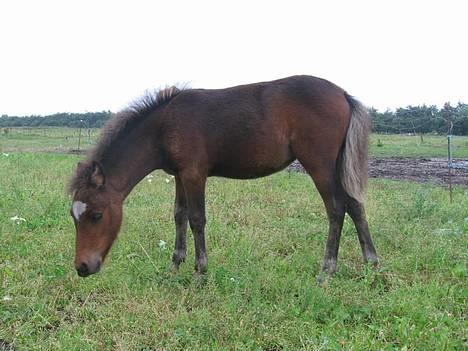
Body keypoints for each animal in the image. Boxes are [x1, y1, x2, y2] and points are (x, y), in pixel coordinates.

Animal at [68, 75, 376, 280]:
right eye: (73, 216)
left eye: (96, 215)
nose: (82, 267)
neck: (165, 124)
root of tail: (343, 93)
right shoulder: (179, 175)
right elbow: (179, 215)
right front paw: (175, 265)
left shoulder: (195, 174)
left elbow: (196, 219)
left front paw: (200, 271)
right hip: (337, 165)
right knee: (355, 205)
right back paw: (372, 263)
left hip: (319, 164)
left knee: (336, 209)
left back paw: (327, 269)